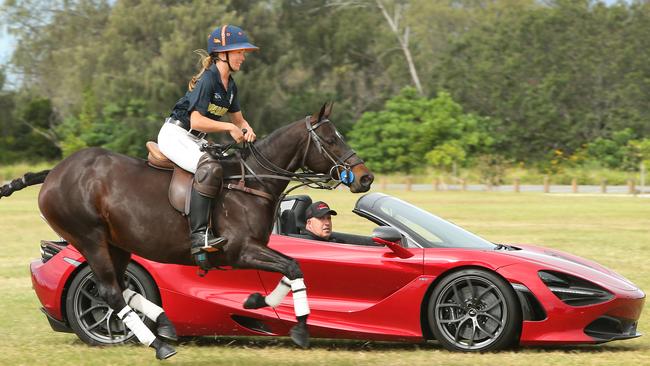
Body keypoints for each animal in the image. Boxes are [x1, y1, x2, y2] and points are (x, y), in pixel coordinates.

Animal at [1, 101, 374, 358]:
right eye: (331, 139)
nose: (365, 177)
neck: (252, 182)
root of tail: (52, 174)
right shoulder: (240, 250)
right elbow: (294, 267)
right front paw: (299, 329)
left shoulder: (256, 248)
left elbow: (291, 269)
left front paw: (257, 303)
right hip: (90, 239)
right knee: (109, 292)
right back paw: (159, 345)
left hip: (117, 243)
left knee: (120, 288)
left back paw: (165, 325)